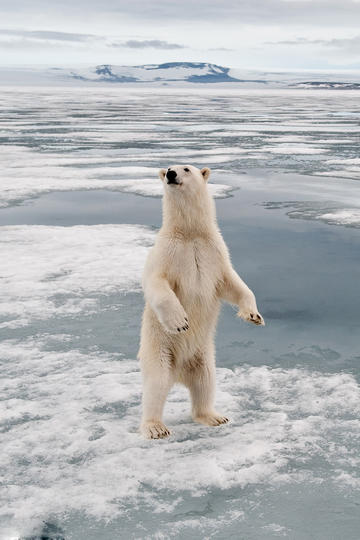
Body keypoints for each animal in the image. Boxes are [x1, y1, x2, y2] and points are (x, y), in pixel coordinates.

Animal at [138, 165, 264, 438]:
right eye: (169, 166)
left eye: (186, 168)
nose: (171, 174)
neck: (190, 233)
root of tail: (178, 374)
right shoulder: (167, 252)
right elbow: (156, 283)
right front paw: (180, 321)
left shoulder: (214, 251)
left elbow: (233, 283)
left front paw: (253, 316)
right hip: (159, 349)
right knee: (156, 384)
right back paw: (156, 427)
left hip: (202, 354)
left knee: (205, 382)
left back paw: (214, 416)